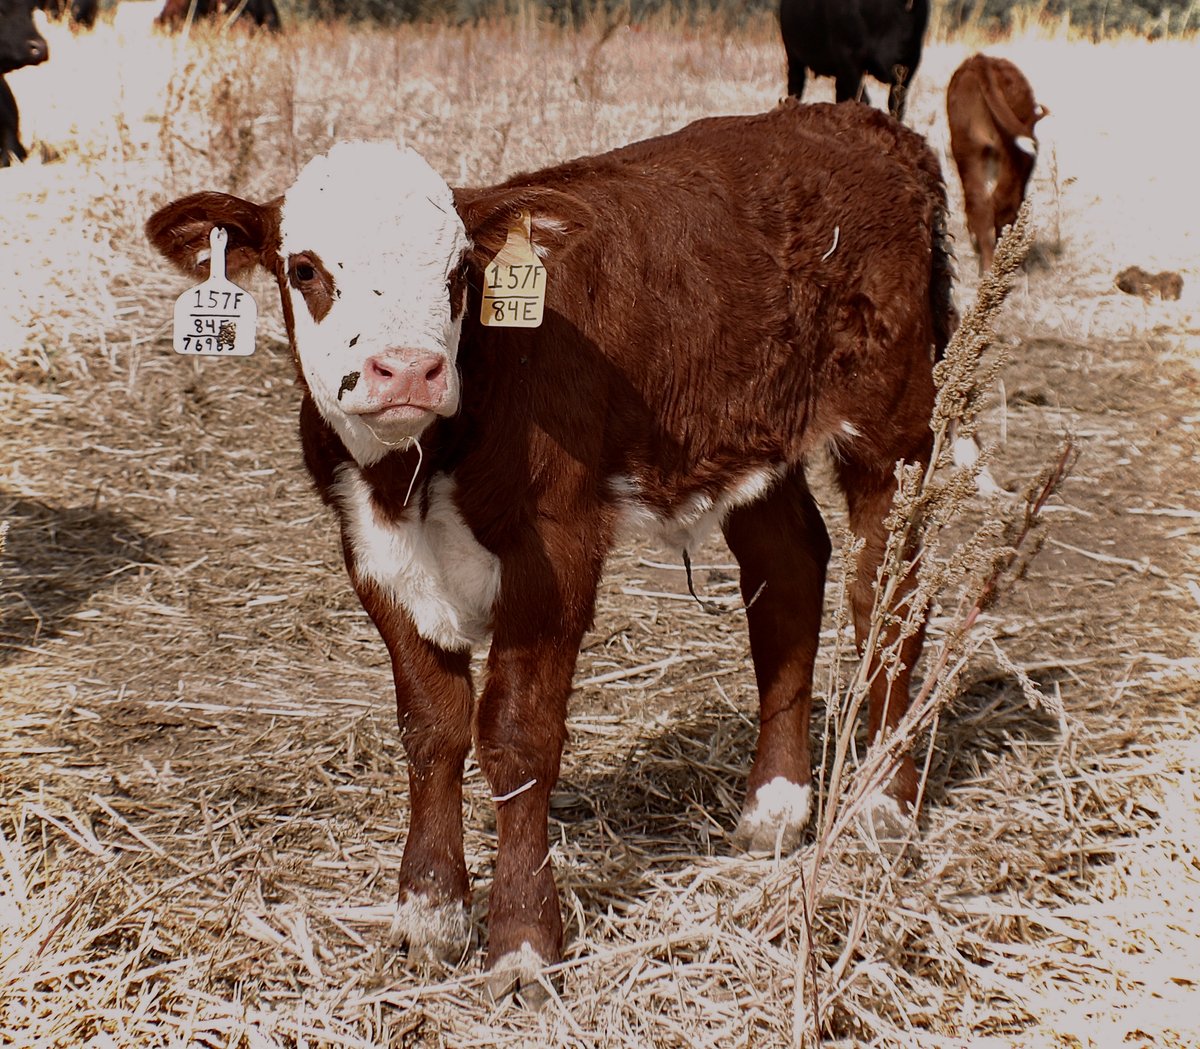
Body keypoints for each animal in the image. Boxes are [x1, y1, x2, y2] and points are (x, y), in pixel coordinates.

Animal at [146, 98, 953, 999]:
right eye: (306, 269)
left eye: (461, 273)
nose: (408, 370)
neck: (416, 471)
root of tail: (865, 124)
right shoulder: (370, 547)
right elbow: (431, 727)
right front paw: (429, 913)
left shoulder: (555, 547)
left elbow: (517, 736)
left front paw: (524, 940)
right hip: (752, 432)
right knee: (785, 576)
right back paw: (774, 807)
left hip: (895, 422)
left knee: (888, 591)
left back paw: (882, 804)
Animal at [779, 0, 929, 120]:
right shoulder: (848, 57)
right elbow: (862, 101)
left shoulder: (909, 63)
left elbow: (897, 105)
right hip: (793, 55)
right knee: (795, 87)